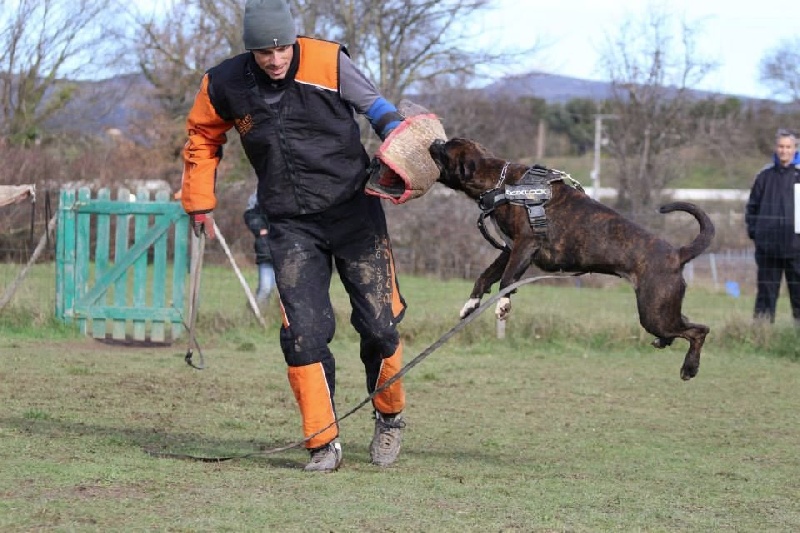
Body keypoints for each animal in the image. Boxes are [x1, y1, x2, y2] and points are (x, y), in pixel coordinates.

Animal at [432, 137, 720, 378]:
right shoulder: (508, 248)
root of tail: (677, 253)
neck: (501, 183)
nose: (435, 141)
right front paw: (471, 304)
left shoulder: (525, 244)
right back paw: (666, 344)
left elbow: (507, 280)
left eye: (446, 149)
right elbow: (485, 277)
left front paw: (503, 305)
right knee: (686, 326)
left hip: (655, 313)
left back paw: (690, 368)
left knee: (699, 331)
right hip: (662, 311)